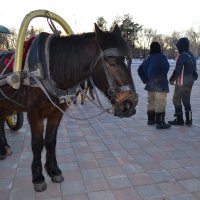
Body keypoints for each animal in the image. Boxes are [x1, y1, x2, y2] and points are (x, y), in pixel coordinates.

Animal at [0, 23, 138, 192]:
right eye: (111, 63)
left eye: (126, 60)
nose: (130, 103)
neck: (48, 69)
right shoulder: (34, 114)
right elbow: (37, 144)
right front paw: (38, 177)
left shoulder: (56, 113)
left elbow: (51, 141)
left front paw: (53, 170)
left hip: (6, 104)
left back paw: (4, 147)